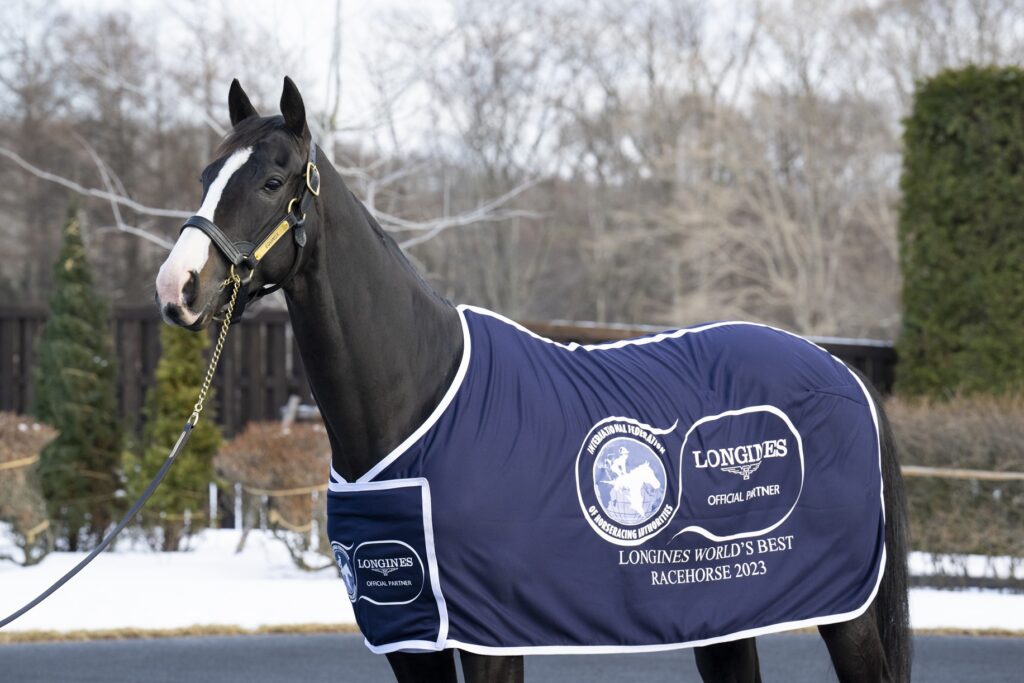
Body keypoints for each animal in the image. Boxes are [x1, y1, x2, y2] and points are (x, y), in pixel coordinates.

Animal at [155, 77, 911, 683]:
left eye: (273, 181)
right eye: (204, 175)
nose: (176, 287)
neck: (417, 398)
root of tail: (843, 372)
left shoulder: (489, 638)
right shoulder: (410, 637)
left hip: (845, 613)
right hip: (725, 613)